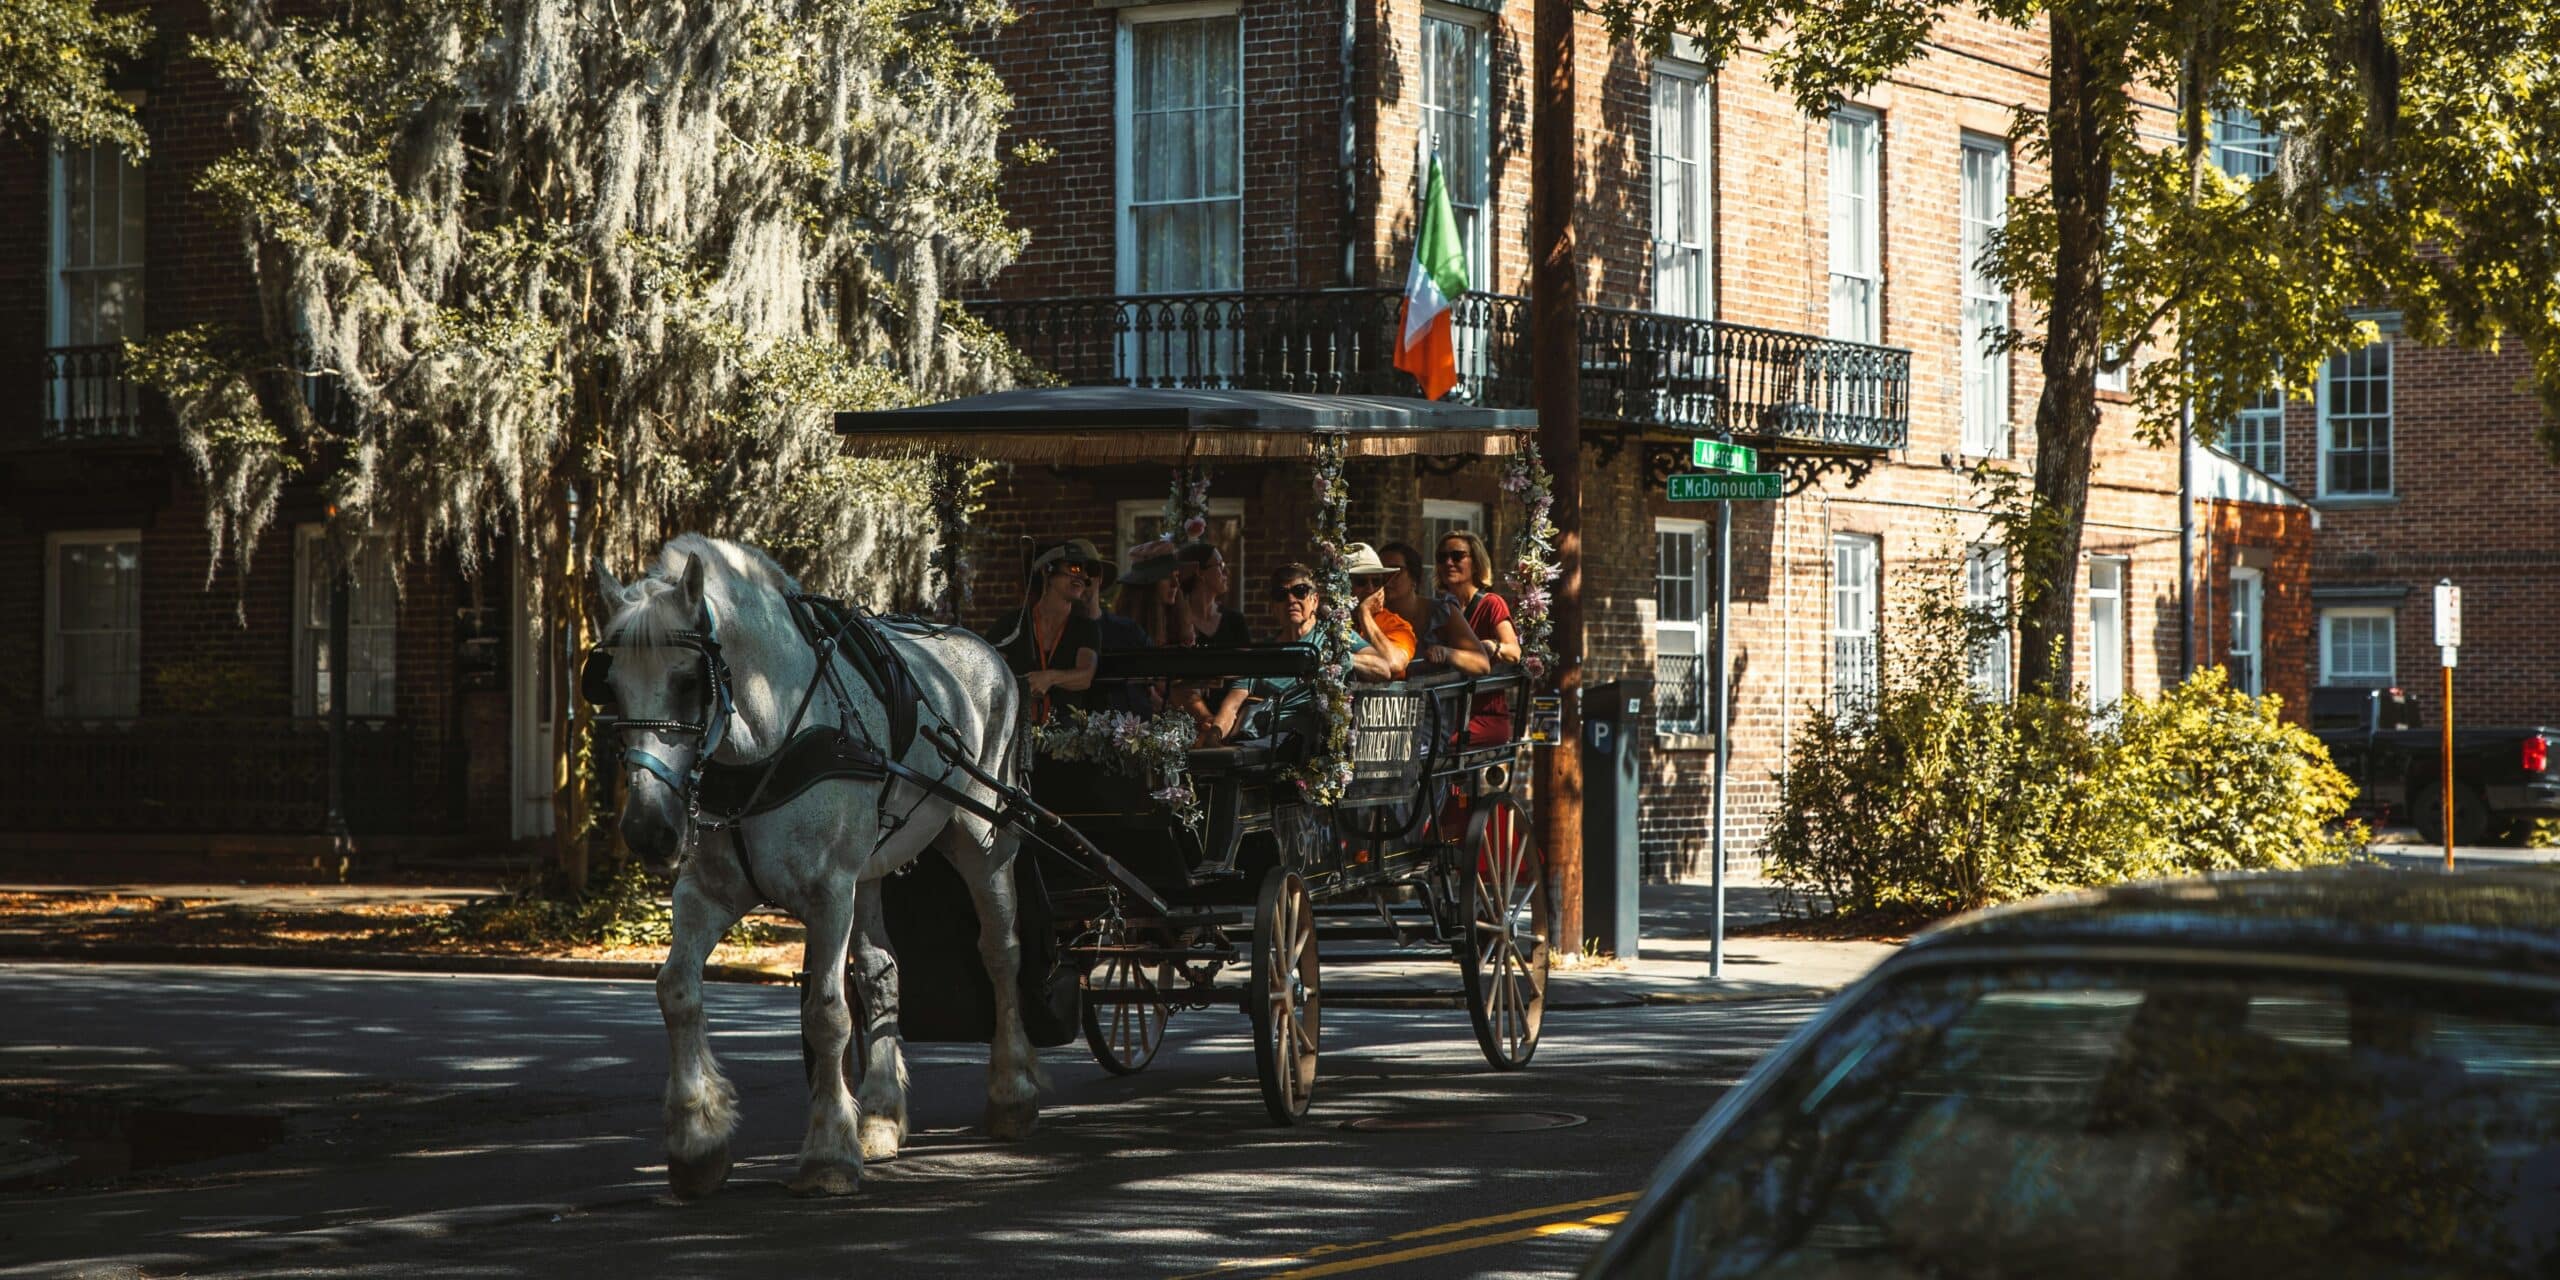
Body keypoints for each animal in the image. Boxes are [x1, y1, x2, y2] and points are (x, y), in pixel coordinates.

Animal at [588, 532, 1039, 1198]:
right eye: (611, 685)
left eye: (690, 680)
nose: (648, 829)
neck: (767, 735)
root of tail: (987, 646)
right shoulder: (706, 892)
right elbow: (676, 990)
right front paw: (697, 1140)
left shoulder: (830, 893)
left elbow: (826, 1013)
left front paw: (828, 1152)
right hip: (874, 868)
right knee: (882, 975)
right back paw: (880, 1116)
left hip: (982, 839)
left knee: (1001, 954)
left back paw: (1012, 1092)